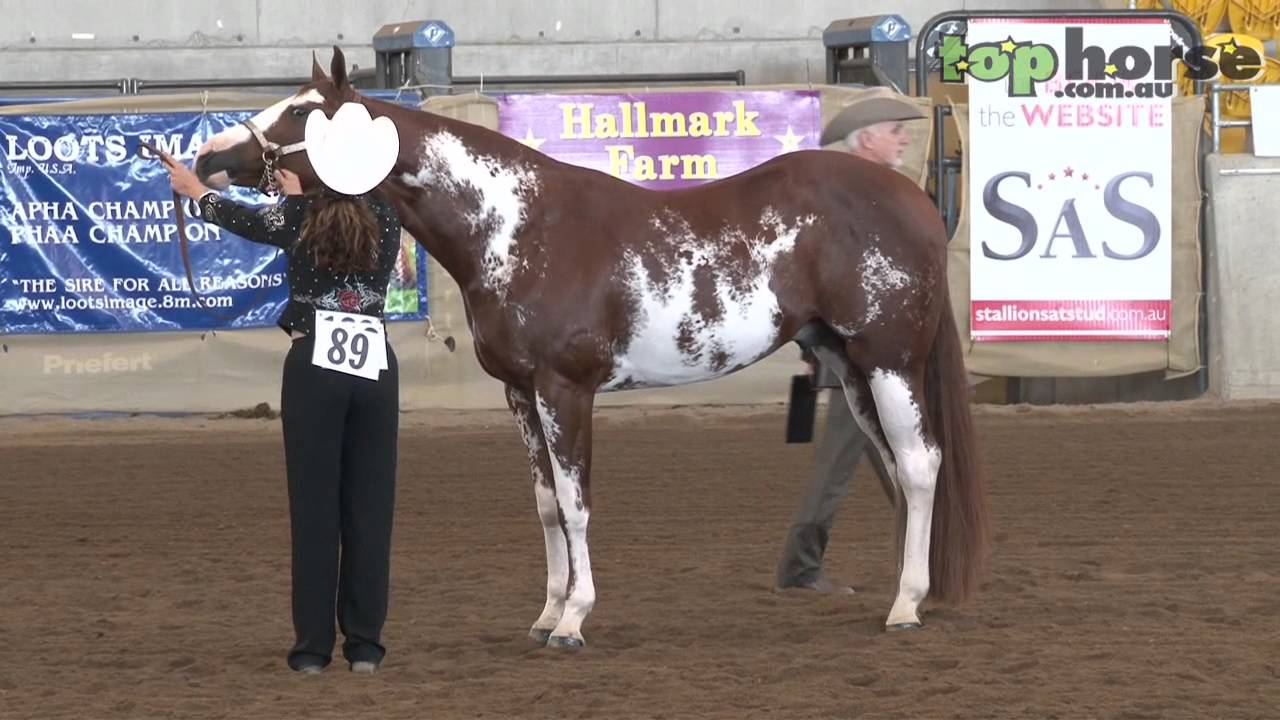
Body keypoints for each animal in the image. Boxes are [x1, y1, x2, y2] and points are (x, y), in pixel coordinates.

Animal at [192, 47, 991, 648]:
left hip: (889, 361)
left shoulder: (565, 389)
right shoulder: (519, 391)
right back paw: (903, 593)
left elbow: (577, 505)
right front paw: (546, 613)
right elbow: (547, 505)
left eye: (303, 111)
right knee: (898, 471)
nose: (207, 159)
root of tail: (914, 199)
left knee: (920, 466)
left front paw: (574, 621)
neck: (516, 227)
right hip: (853, 368)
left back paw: (906, 608)